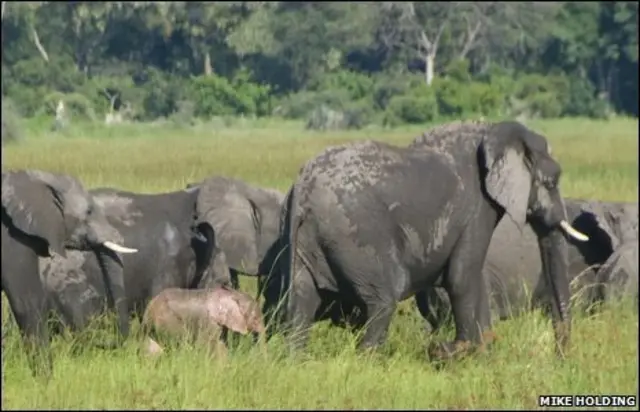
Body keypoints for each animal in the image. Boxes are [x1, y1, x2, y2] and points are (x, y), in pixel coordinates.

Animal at [262, 120, 590, 360]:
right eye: (551, 181)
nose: (561, 358)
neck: (494, 131)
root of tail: (301, 189)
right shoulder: (475, 208)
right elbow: (462, 276)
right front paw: (461, 352)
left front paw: (478, 352)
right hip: (355, 236)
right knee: (383, 298)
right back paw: (367, 362)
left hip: (304, 240)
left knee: (303, 303)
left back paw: (297, 362)